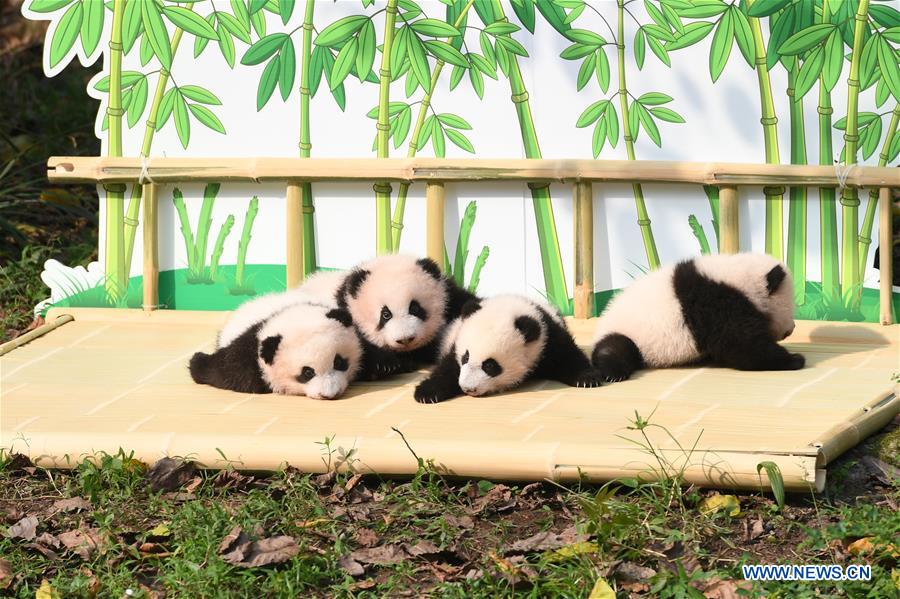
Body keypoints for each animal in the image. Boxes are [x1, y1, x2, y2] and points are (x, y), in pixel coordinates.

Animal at [189, 294, 362, 399]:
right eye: (307, 373)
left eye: (339, 362)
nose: (329, 394)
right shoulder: (250, 350)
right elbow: (229, 371)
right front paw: (197, 361)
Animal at [297, 254, 478, 377]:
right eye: (385, 314)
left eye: (415, 308)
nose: (405, 339)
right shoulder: (344, 309)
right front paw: (386, 364)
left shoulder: (449, 295)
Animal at [414, 295, 605, 403]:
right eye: (465, 357)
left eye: (490, 365)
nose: (468, 389)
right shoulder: (456, 342)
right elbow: (448, 368)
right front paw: (427, 393)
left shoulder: (548, 338)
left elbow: (567, 356)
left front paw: (587, 378)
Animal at [590, 253, 804, 382]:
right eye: (790, 307)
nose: (792, 328)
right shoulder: (717, 305)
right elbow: (742, 346)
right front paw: (794, 359)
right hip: (629, 333)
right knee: (616, 348)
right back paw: (613, 372)